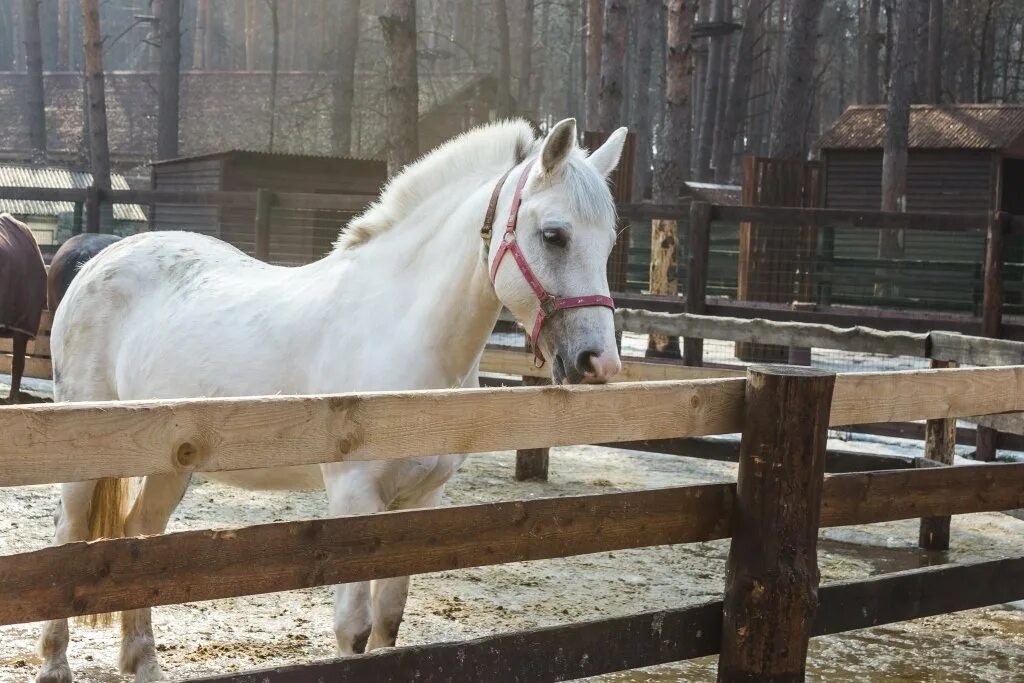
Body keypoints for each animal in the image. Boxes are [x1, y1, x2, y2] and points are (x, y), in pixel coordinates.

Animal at [36, 118, 626, 683]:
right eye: (554, 235)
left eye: (608, 244)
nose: (599, 362)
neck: (401, 330)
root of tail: (101, 258)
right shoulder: (353, 496)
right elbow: (355, 630)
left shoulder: (420, 503)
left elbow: (389, 620)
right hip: (84, 453)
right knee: (68, 539)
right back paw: (55, 664)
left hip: (168, 465)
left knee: (141, 537)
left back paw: (143, 664)